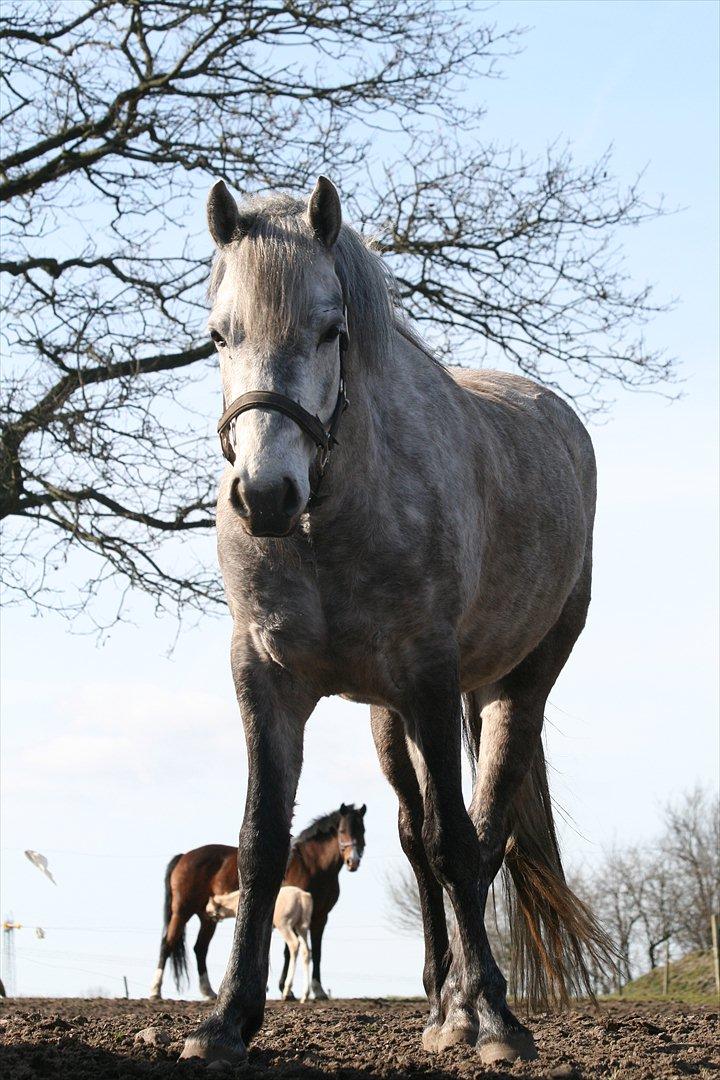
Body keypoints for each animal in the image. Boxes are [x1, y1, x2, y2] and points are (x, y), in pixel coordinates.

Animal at [151, 803, 367, 1002]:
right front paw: (286, 990)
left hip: (206, 918)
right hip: (182, 912)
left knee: (200, 948)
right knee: (167, 943)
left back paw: (209, 992)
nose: (353, 861)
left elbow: (317, 952)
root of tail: (183, 857)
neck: (311, 865)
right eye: (342, 830)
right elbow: (287, 952)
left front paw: (318, 990)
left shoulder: (320, 917)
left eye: (362, 830)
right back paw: (156, 990)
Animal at [179, 177, 608, 1062]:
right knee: (417, 837)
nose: (265, 496)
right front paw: (227, 1020)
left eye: (330, 329)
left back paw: (471, 1008)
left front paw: (497, 1020)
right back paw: (444, 1005)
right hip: (389, 720)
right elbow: (262, 841)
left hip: (517, 686)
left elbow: (457, 840)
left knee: (481, 834)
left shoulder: (429, 677)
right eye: (217, 335)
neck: (327, 524)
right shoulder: (266, 681)